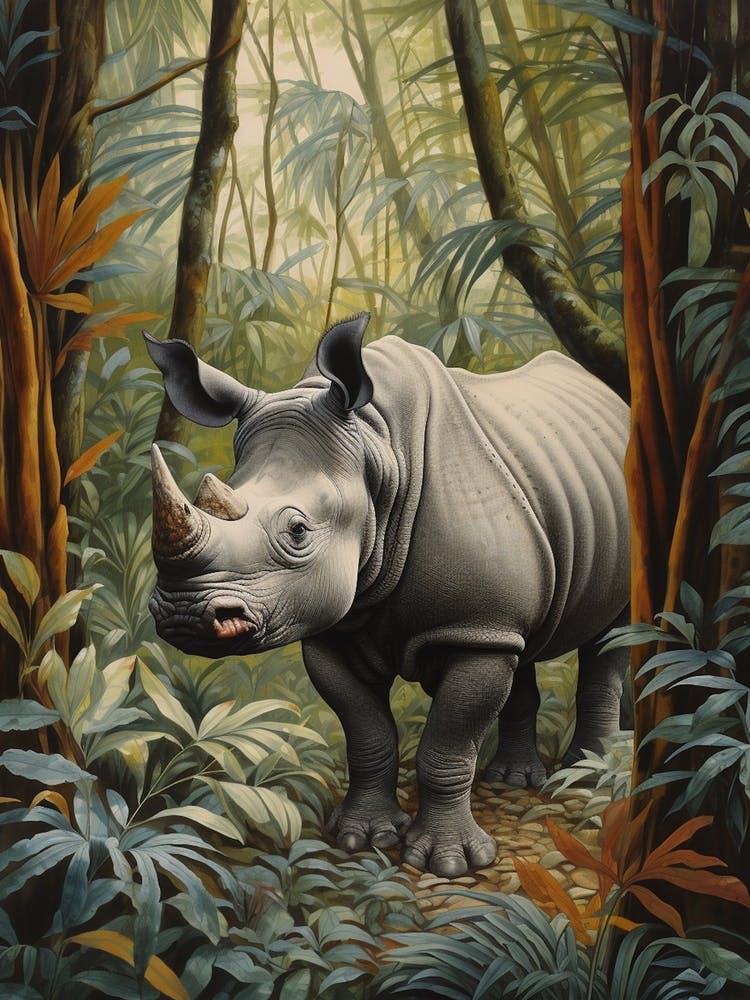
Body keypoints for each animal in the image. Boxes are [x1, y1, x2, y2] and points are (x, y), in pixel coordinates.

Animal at [144, 313, 630, 877]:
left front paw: (449, 863)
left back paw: (587, 778)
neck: (379, 453)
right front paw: (363, 836)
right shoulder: (338, 630)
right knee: (521, 643)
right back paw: (511, 781)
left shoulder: (471, 626)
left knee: (608, 636)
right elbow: (367, 733)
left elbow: (447, 744)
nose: (184, 616)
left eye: (297, 531)